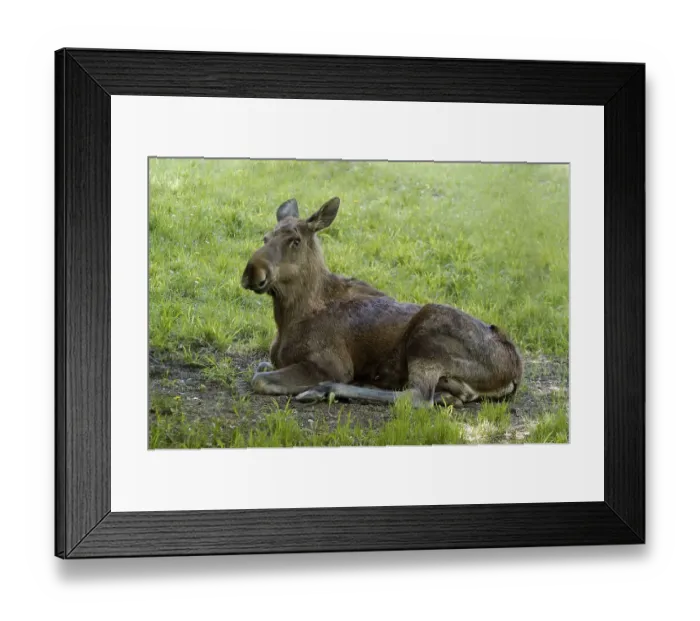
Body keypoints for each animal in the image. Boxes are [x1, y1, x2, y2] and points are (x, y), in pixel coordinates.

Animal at [241, 197, 523, 408]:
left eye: (295, 241)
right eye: (265, 237)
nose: (252, 272)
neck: (287, 319)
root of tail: (515, 371)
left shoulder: (332, 364)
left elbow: (259, 378)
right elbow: (261, 364)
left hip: (428, 337)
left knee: (417, 397)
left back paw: (325, 390)